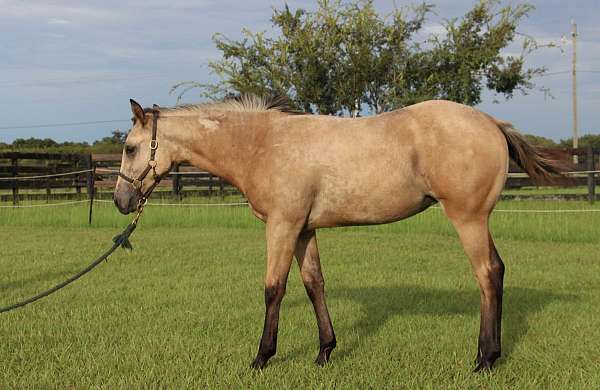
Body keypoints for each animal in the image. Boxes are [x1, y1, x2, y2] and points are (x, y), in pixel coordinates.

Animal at [113, 94, 568, 372]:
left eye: (131, 148)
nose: (121, 200)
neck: (261, 144)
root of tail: (491, 121)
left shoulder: (282, 226)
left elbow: (274, 288)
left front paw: (262, 358)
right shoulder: (303, 230)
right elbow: (314, 284)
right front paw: (324, 351)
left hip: (468, 218)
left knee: (488, 274)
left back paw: (485, 359)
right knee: (495, 272)